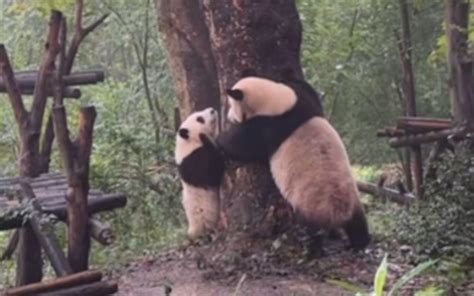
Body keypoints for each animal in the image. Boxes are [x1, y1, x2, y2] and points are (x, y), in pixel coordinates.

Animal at [217, 68, 372, 256]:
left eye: (232, 105)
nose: (229, 117)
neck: (273, 100)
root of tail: (339, 214)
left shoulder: (269, 127)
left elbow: (245, 144)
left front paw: (220, 139)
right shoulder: (302, 100)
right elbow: (305, 89)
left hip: (312, 206)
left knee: (314, 230)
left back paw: (313, 250)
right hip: (353, 200)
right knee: (358, 223)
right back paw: (359, 243)